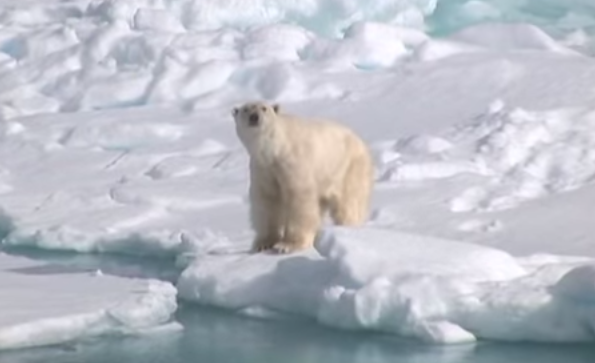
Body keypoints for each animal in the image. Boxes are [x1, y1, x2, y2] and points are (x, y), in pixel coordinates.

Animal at [232, 101, 372, 255]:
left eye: (264, 108)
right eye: (245, 109)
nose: (254, 117)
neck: (274, 149)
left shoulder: (292, 162)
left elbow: (298, 200)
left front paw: (287, 245)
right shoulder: (263, 169)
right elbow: (267, 201)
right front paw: (264, 244)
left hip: (347, 169)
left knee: (349, 204)